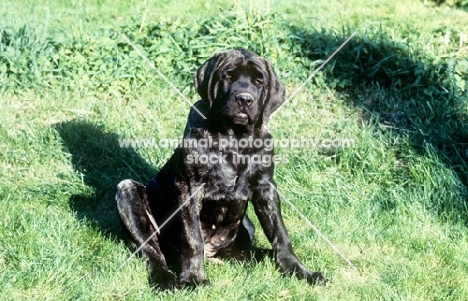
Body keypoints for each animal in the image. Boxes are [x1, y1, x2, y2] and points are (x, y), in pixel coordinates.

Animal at [115, 48, 326, 288]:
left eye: (259, 81)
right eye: (228, 77)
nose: (244, 99)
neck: (235, 139)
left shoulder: (265, 187)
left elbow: (280, 234)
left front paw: (299, 271)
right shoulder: (189, 188)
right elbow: (193, 237)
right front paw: (194, 278)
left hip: (246, 227)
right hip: (128, 191)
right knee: (152, 251)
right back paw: (165, 280)